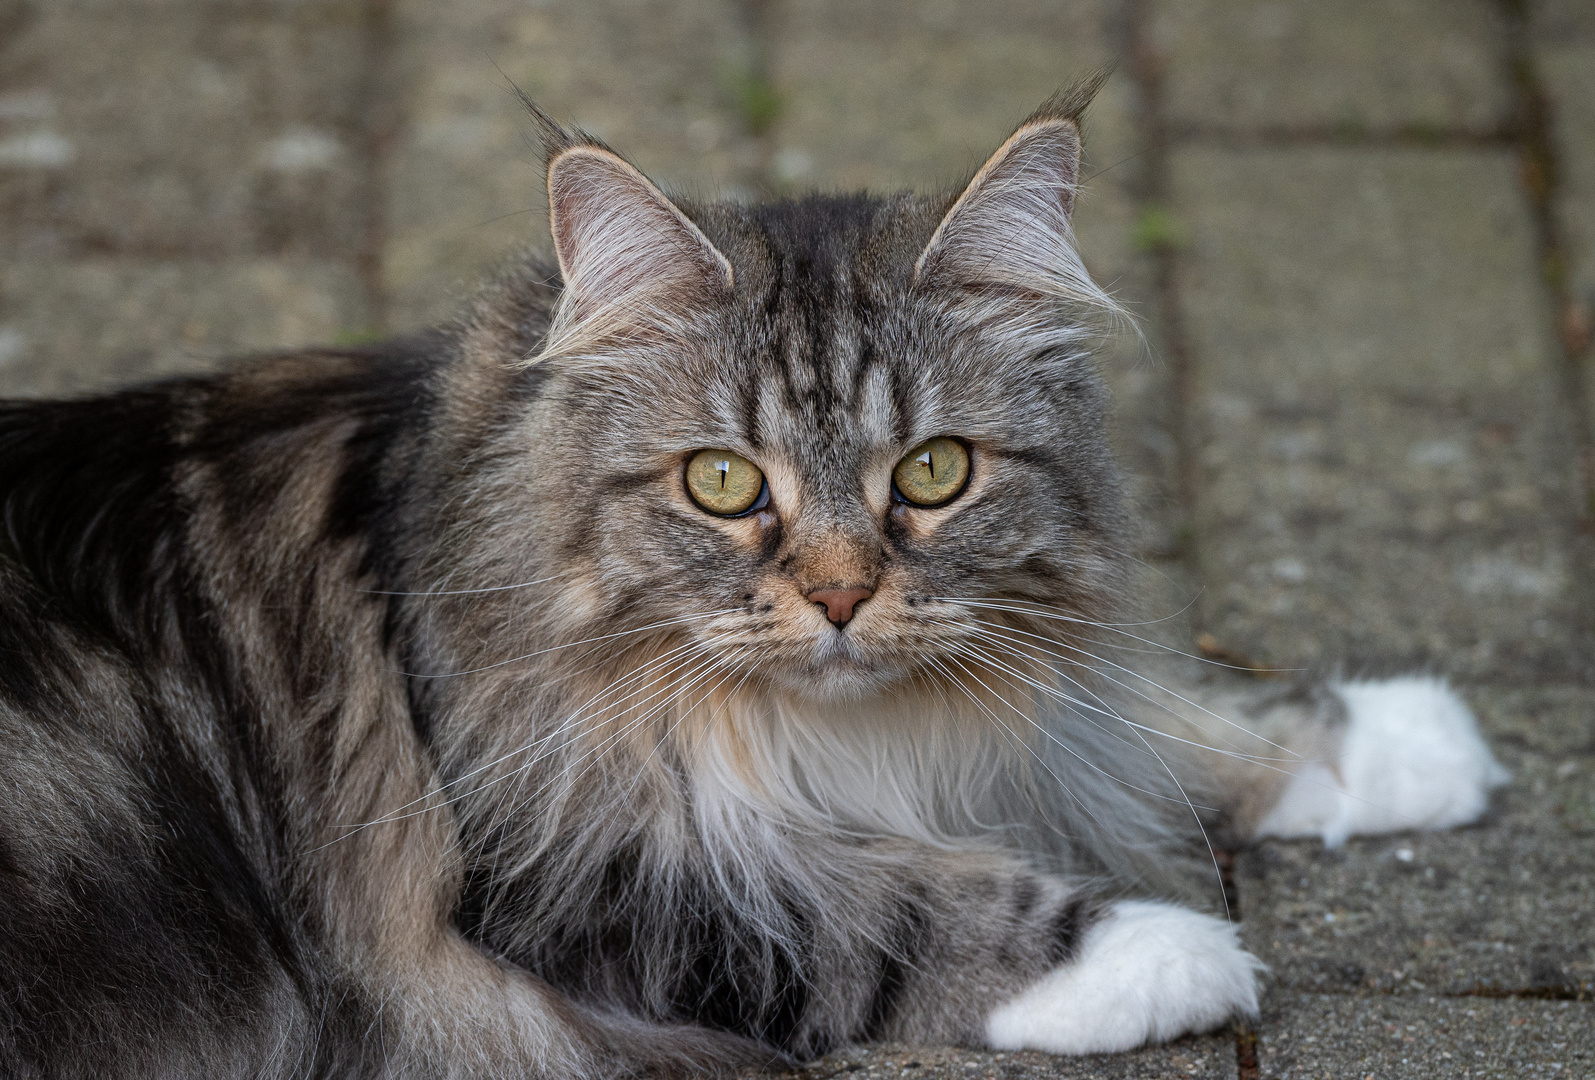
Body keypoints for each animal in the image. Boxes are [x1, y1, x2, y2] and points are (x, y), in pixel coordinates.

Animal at [0, 80, 1505, 1072]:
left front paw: (1398, 745)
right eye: (722, 484)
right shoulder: (559, 872)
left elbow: (1160, 713)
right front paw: (1166, 950)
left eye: (932, 474)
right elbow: (878, 910)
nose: (839, 595)